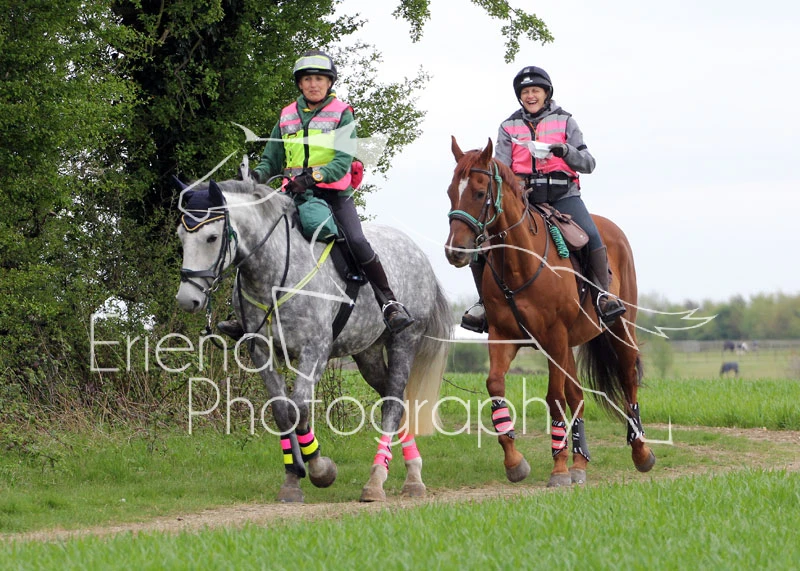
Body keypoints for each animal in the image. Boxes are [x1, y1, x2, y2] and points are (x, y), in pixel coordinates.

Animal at [175, 178, 452, 503]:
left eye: (212, 237)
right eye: (181, 236)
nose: (187, 299)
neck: (273, 275)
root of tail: (418, 252)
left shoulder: (315, 351)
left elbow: (300, 408)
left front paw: (321, 469)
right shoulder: (262, 351)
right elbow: (283, 411)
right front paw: (292, 478)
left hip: (404, 340)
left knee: (393, 403)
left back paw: (378, 480)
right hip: (368, 353)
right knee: (392, 398)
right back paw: (412, 474)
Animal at [444, 137, 655, 487]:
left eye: (478, 191)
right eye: (450, 191)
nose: (455, 251)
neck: (521, 264)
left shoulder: (553, 337)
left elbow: (554, 398)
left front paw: (558, 469)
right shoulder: (505, 337)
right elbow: (495, 386)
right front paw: (515, 461)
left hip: (620, 330)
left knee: (628, 382)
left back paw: (641, 452)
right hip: (568, 346)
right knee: (578, 395)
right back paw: (580, 464)